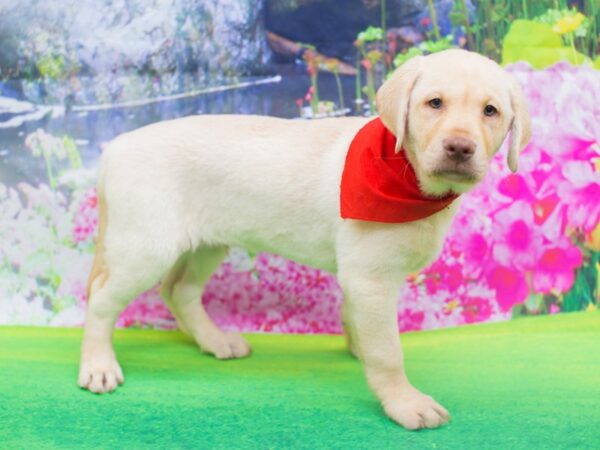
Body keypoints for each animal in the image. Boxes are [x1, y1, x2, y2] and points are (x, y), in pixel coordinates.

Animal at [78, 49, 528, 428]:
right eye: (434, 103)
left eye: (490, 111)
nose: (459, 147)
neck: (404, 173)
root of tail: (115, 147)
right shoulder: (370, 278)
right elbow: (388, 351)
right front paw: (404, 402)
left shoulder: (362, 276)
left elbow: (357, 320)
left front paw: (359, 347)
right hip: (143, 247)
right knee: (100, 300)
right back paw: (98, 365)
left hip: (207, 242)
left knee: (179, 290)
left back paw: (215, 340)